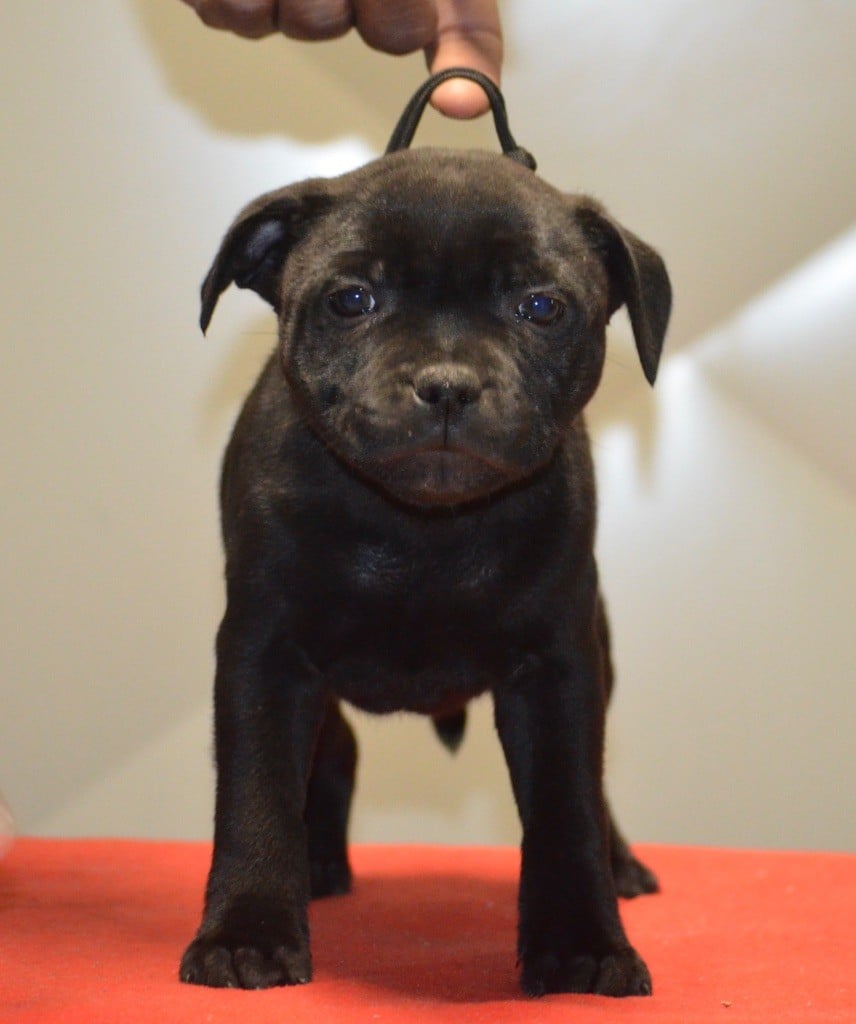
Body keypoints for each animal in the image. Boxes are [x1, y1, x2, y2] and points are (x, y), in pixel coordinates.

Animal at [180, 146, 671, 998]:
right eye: (352, 300)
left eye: (541, 307)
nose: (446, 383)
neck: (420, 530)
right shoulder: (263, 657)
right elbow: (255, 797)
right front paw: (247, 932)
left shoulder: (558, 670)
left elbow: (567, 810)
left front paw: (582, 944)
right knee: (333, 754)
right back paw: (318, 866)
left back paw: (623, 865)